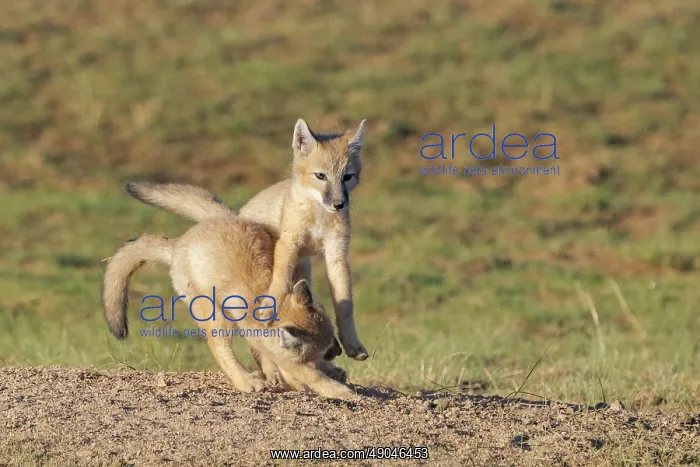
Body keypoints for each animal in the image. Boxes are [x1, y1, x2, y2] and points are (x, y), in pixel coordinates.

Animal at [101, 214, 357, 400]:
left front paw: (326, 372)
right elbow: (310, 375)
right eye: (326, 349)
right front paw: (341, 391)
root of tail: (179, 243)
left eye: (333, 340)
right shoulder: (279, 351)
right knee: (221, 350)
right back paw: (245, 380)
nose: (339, 351)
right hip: (217, 317)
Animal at [125, 117, 370, 361]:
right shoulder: (287, 245)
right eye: (321, 176)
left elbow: (344, 305)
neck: (318, 219)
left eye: (347, 177)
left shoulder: (336, 252)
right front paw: (268, 309)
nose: (338, 204)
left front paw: (352, 343)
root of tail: (231, 216)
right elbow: (278, 283)